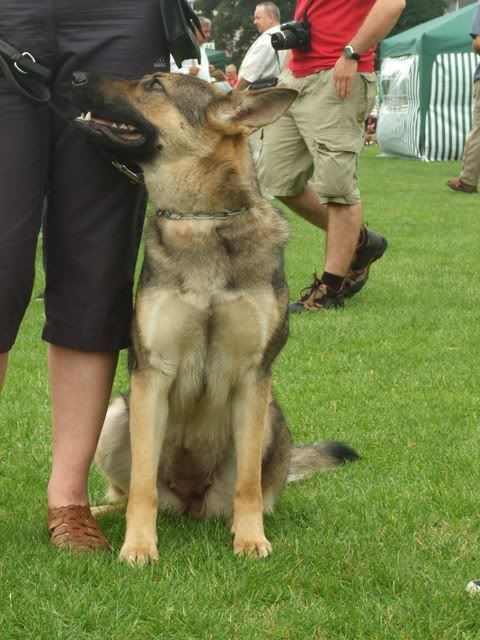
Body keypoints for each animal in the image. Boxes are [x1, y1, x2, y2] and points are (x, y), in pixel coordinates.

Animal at [72, 71, 359, 565]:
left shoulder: (253, 378)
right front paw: (139, 547)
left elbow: (247, 484)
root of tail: (189, 504)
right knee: (126, 496)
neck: (203, 219)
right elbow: (142, 487)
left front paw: (250, 539)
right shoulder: (151, 375)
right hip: (116, 414)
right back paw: (95, 514)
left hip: (270, 416)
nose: (75, 76)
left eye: (153, 83)